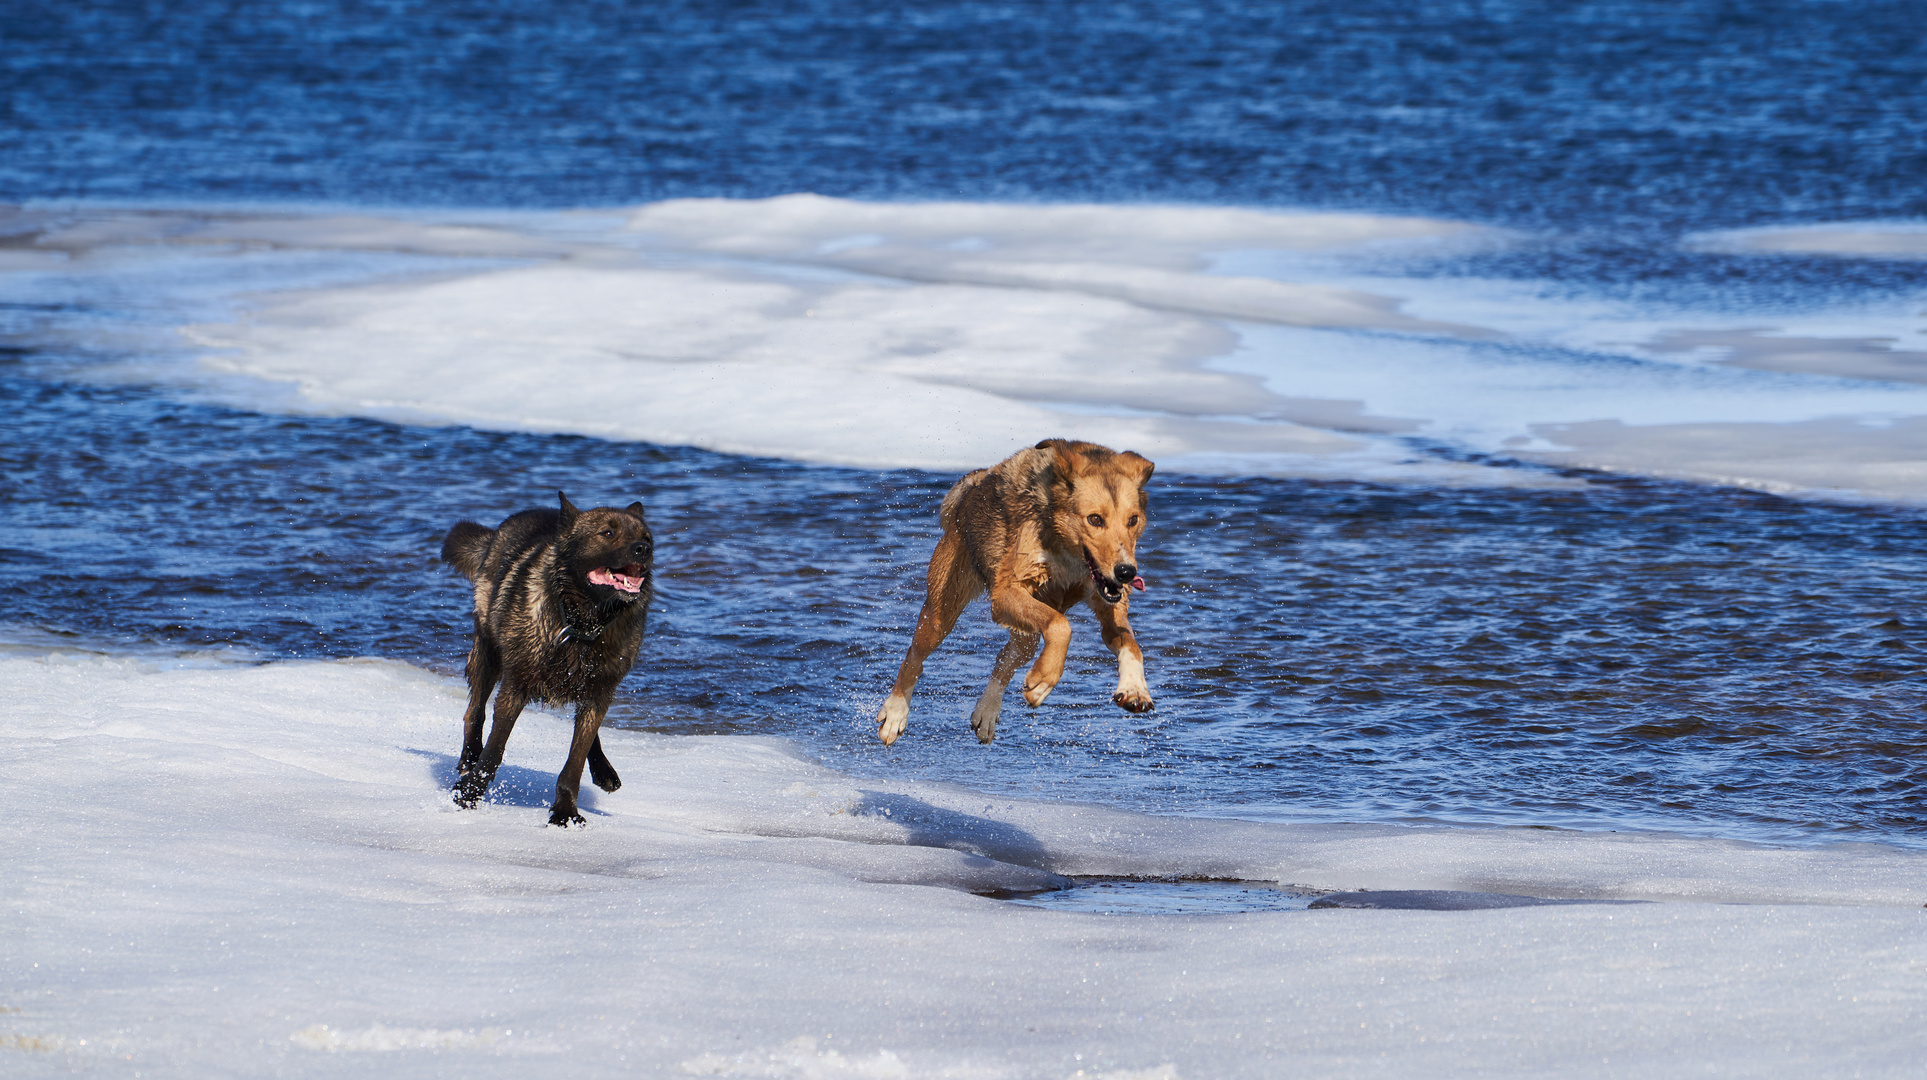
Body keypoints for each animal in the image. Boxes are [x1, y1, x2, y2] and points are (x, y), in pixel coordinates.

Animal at [441, 491, 655, 825]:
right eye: (608, 533)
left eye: (646, 537)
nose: (643, 549)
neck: (582, 624)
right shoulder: (514, 687)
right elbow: (494, 751)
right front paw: (469, 794)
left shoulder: (600, 692)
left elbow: (575, 761)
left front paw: (565, 812)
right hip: (488, 654)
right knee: (473, 712)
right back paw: (468, 759)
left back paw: (604, 771)